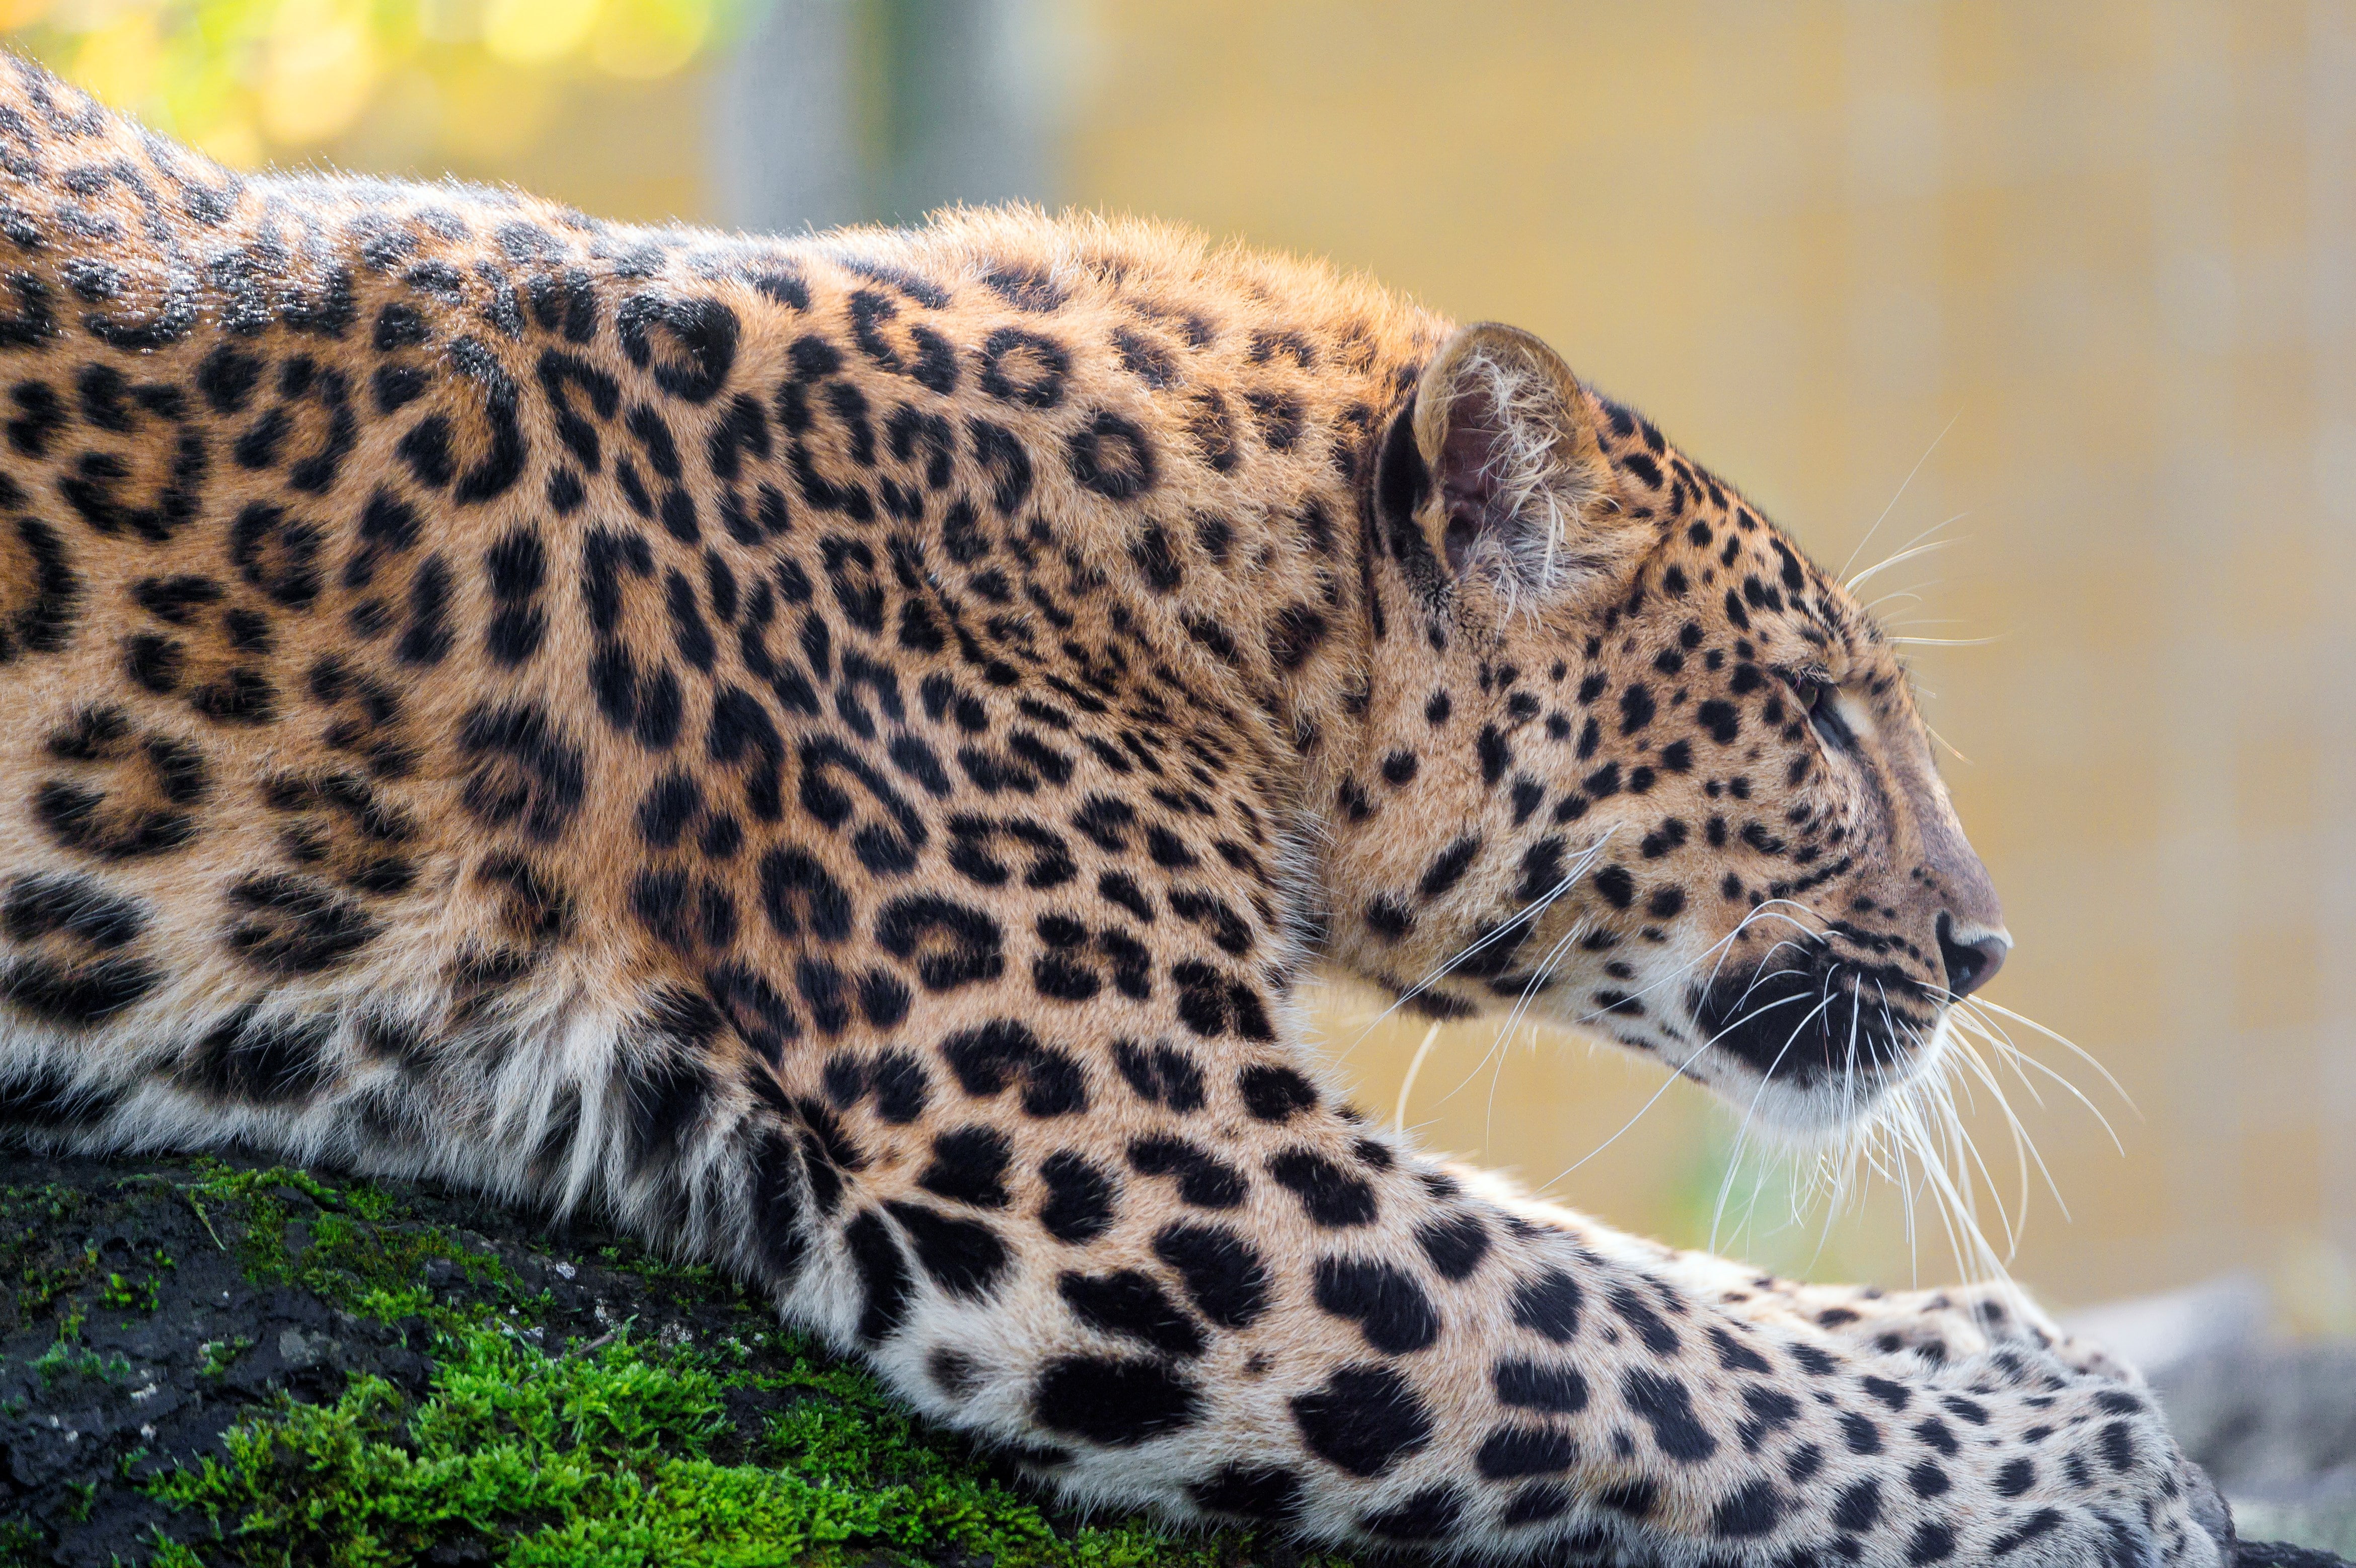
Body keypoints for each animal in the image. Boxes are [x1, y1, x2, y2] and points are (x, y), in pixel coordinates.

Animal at [0, 50, 2236, 1567]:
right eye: (1816, 712)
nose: (1985, 946)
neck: (1218, 600)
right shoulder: (1168, 1177)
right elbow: (1632, 1334)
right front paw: (2100, 1453)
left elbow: (1662, 1279)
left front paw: (2011, 1345)